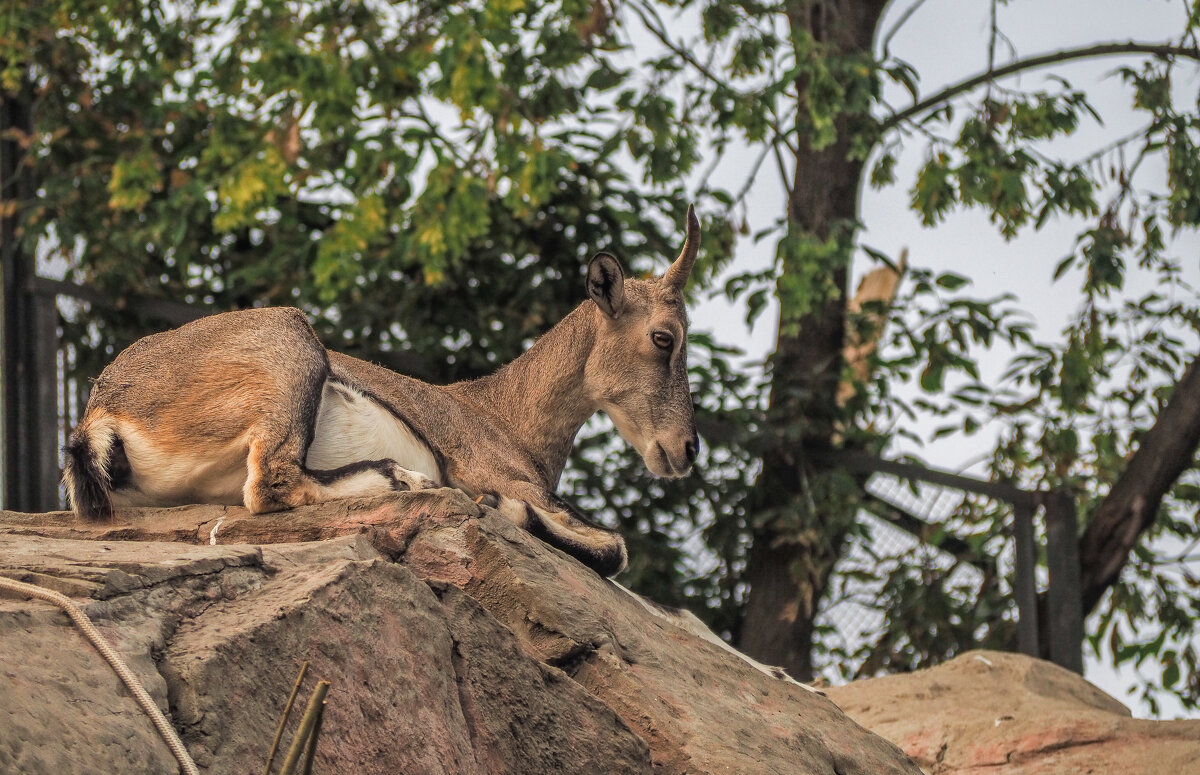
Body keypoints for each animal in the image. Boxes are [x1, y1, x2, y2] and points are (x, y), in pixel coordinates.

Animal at [63, 206, 700, 575]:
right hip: (291, 349)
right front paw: (498, 507)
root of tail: (103, 409)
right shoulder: (498, 471)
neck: (503, 413)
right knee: (269, 484)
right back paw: (402, 480)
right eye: (664, 337)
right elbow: (613, 546)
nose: (687, 449)